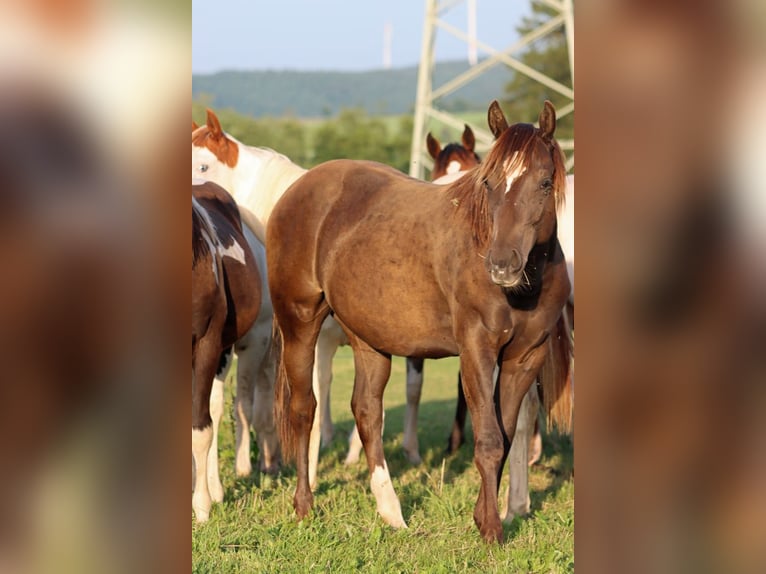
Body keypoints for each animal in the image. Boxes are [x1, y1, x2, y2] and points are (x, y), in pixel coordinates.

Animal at [267, 100, 572, 542]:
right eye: (489, 183)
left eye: (545, 182)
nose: (501, 265)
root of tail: (297, 190)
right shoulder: (476, 351)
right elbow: (489, 439)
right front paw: (491, 529)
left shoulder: (524, 358)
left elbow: (505, 433)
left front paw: (487, 516)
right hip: (300, 324)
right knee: (305, 408)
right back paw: (304, 506)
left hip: (369, 338)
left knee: (367, 411)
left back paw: (391, 512)